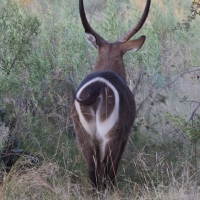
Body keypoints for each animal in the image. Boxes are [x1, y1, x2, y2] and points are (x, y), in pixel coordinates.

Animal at [70, 0, 150, 191]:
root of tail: (97, 88)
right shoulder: (124, 135)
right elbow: (114, 165)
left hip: (84, 135)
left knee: (92, 167)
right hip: (111, 135)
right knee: (106, 166)